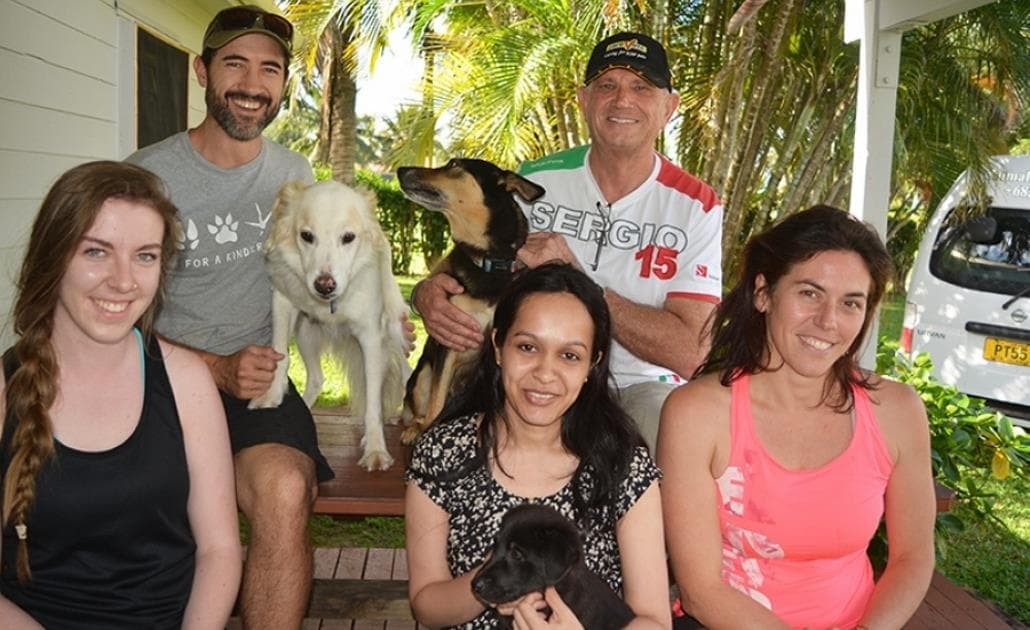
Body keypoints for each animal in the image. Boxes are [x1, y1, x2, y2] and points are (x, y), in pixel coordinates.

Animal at [247, 180, 407, 469]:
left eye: (348, 237)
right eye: (307, 236)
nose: (324, 285)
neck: (330, 305)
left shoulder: (370, 337)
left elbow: (373, 400)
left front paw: (375, 449)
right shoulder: (283, 304)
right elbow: (280, 356)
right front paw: (272, 396)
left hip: (395, 333)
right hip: (306, 336)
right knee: (317, 379)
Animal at [395, 157, 547, 442]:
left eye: (454, 165)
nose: (400, 170)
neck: (487, 259)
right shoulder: (449, 340)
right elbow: (436, 403)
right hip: (421, 376)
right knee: (420, 409)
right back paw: (413, 429)